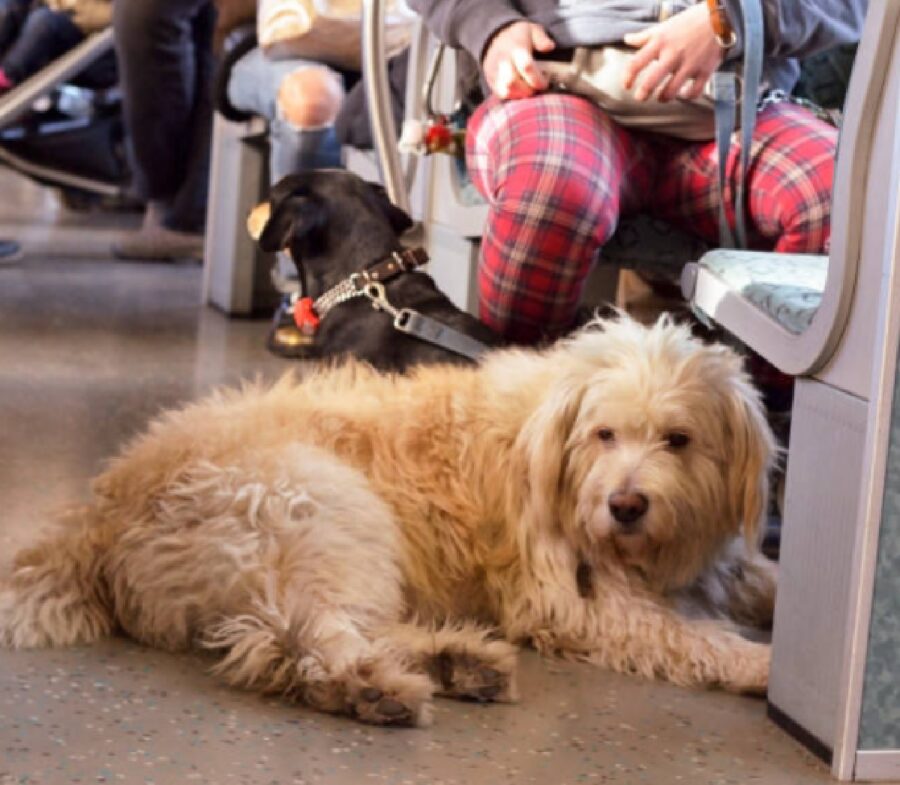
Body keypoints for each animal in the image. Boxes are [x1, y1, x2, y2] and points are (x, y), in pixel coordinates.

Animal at [0, 316, 772, 724]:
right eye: (605, 434)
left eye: (678, 439)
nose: (626, 505)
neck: (546, 438)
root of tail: (101, 511)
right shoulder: (570, 602)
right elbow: (681, 635)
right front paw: (760, 664)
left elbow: (757, 578)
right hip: (319, 511)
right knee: (300, 642)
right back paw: (375, 686)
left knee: (331, 629)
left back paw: (458, 661)